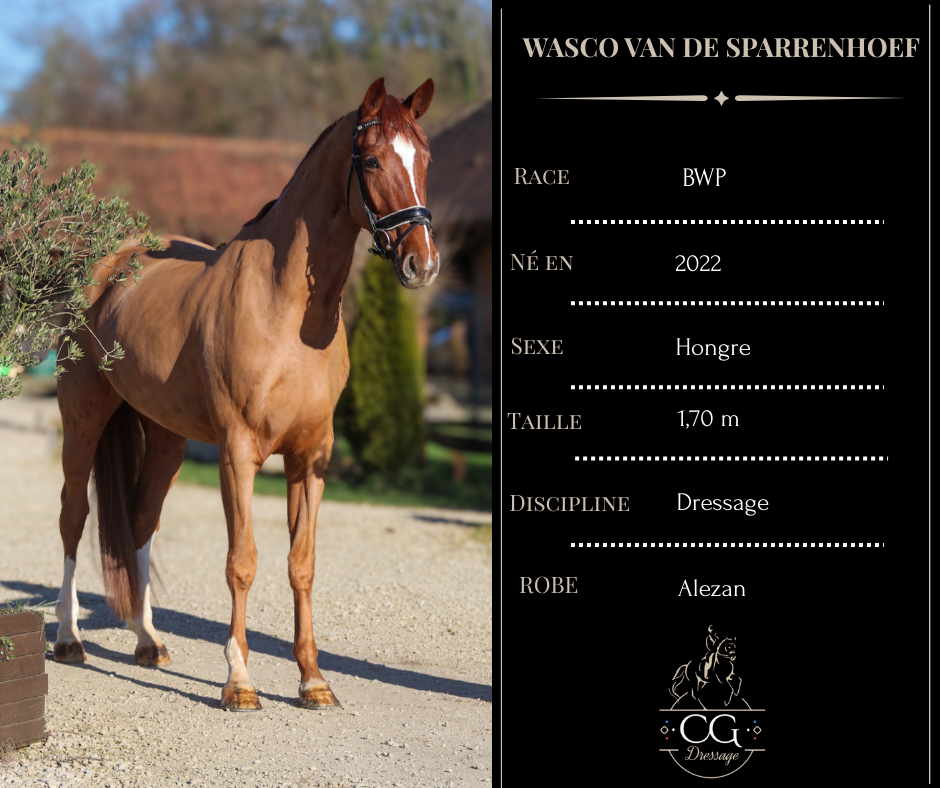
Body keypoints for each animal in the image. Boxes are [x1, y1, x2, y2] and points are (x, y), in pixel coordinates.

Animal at [52, 78, 440, 711]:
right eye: (372, 160)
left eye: (425, 159)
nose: (422, 262)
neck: (287, 310)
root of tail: (108, 265)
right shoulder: (238, 454)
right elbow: (243, 562)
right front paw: (238, 682)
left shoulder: (311, 458)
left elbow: (301, 564)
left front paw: (313, 681)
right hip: (83, 416)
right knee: (73, 515)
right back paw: (68, 637)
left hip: (166, 437)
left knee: (141, 520)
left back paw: (147, 641)